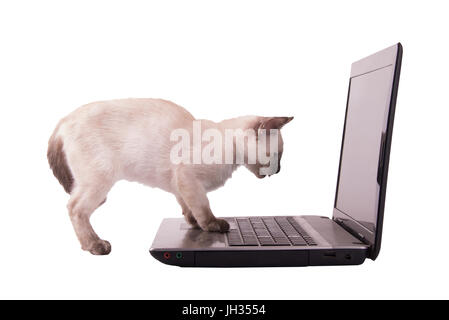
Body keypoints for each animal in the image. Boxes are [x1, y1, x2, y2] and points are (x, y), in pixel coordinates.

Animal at [48, 98, 294, 255]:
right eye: (277, 156)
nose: (279, 170)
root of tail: (64, 119)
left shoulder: (180, 184)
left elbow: (189, 208)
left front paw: (194, 225)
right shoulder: (189, 177)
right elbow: (203, 206)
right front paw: (212, 225)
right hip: (100, 180)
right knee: (75, 208)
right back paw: (95, 245)